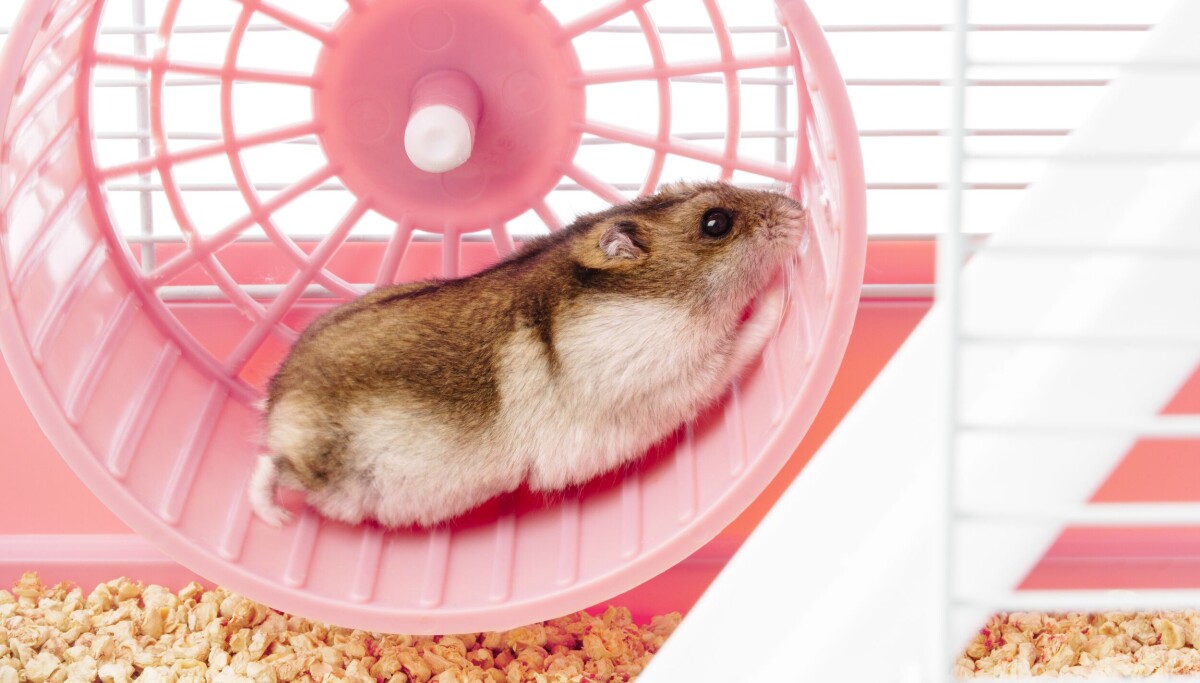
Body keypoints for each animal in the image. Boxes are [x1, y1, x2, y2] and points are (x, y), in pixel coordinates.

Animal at [250, 181, 805, 528]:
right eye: (715, 223)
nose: (800, 208)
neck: (662, 298)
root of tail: (274, 399)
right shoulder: (676, 376)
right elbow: (741, 343)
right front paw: (782, 292)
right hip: (330, 475)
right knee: (269, 465)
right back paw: (275, 519)